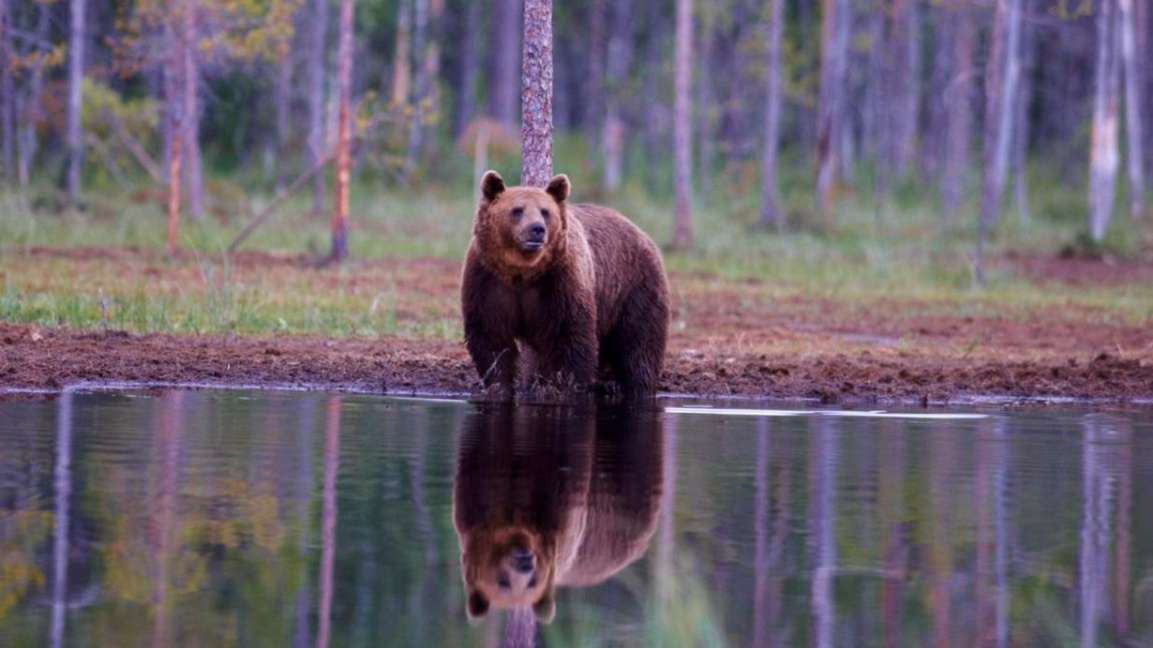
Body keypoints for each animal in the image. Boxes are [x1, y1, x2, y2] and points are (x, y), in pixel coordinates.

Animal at [452, 403, 664, 623]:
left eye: (533, 582)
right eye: (502, 581)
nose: (524, 560)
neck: (516, 519)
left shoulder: (560, 517)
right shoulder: (475, 501)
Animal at [461, 170, 670, 396]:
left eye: (545, 211)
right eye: (517, 210)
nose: (537, 229)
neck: (523, 271)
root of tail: (641, 233)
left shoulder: (560, 281)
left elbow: (571, 337)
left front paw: (570, 387)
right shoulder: (488, 280)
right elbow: (491, 336)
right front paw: (499, 386)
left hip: (632, 287)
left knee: (639, 342)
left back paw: (637, 386)